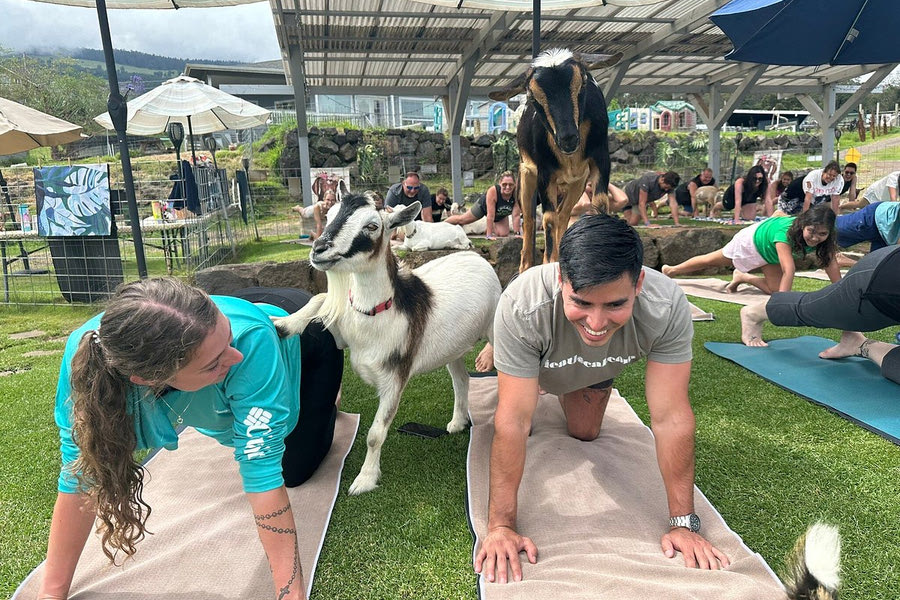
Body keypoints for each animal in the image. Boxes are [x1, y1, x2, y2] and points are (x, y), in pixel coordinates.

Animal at [270, 195, 502, 494]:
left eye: (372, 226)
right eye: (330, 214)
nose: (319, 249)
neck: (379, 313)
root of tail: (478, 258)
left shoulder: (395, 377)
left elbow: (375, 434)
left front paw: (365, 480)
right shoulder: (343, 336)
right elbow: (320, 299)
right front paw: (282, 325)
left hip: (495, 326)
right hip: (453, 347)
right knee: (461, 379)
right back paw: (457, 422)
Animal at [492, 50, 620, 274]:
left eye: (583, 81)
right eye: (531, 96)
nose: (568, 138)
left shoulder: (601, 160)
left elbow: (600, 204)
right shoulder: (545, 172)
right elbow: (548, 218)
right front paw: (548, 263)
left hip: (577, 182)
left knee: (564, 214)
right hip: (526, 175)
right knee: (529, 220)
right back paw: (526, 267)